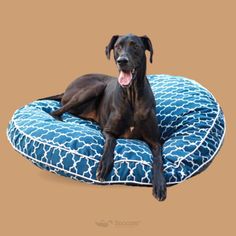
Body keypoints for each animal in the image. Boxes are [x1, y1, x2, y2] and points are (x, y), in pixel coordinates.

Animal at [40, 34, 166, 201]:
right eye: (118, 46)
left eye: (135, 46)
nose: (122, 61)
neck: (132, 95)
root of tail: (65, 90)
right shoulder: (108, 130)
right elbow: (110, 142)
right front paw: (104, 166)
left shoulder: (155, 141)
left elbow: (158, 159)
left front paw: (159, 184)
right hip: (95, 87)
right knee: (56, 111)